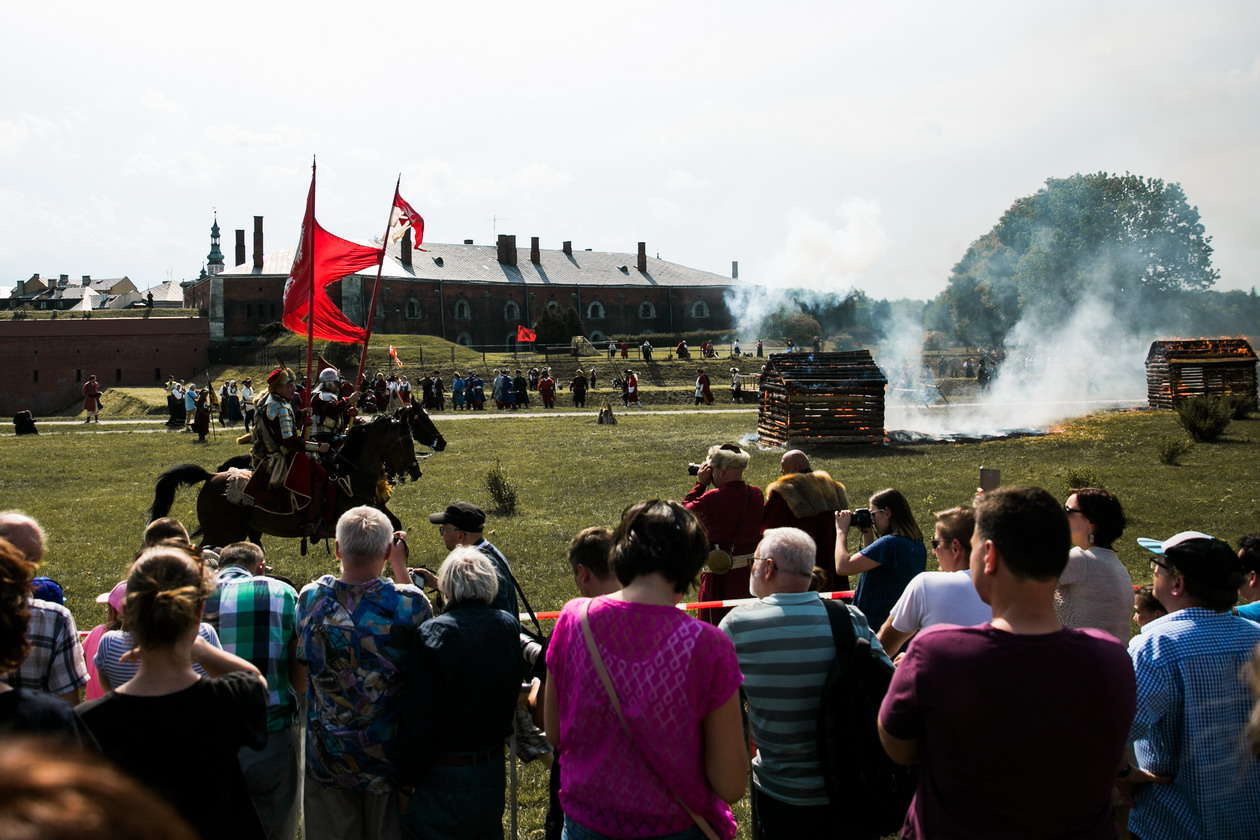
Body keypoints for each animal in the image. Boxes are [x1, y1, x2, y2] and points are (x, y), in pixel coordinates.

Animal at [146, 410, 433, 549]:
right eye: (405, 440)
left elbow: (395, 524)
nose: (415, 470)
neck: (349, 473)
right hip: (221, 532)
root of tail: (212, 476)